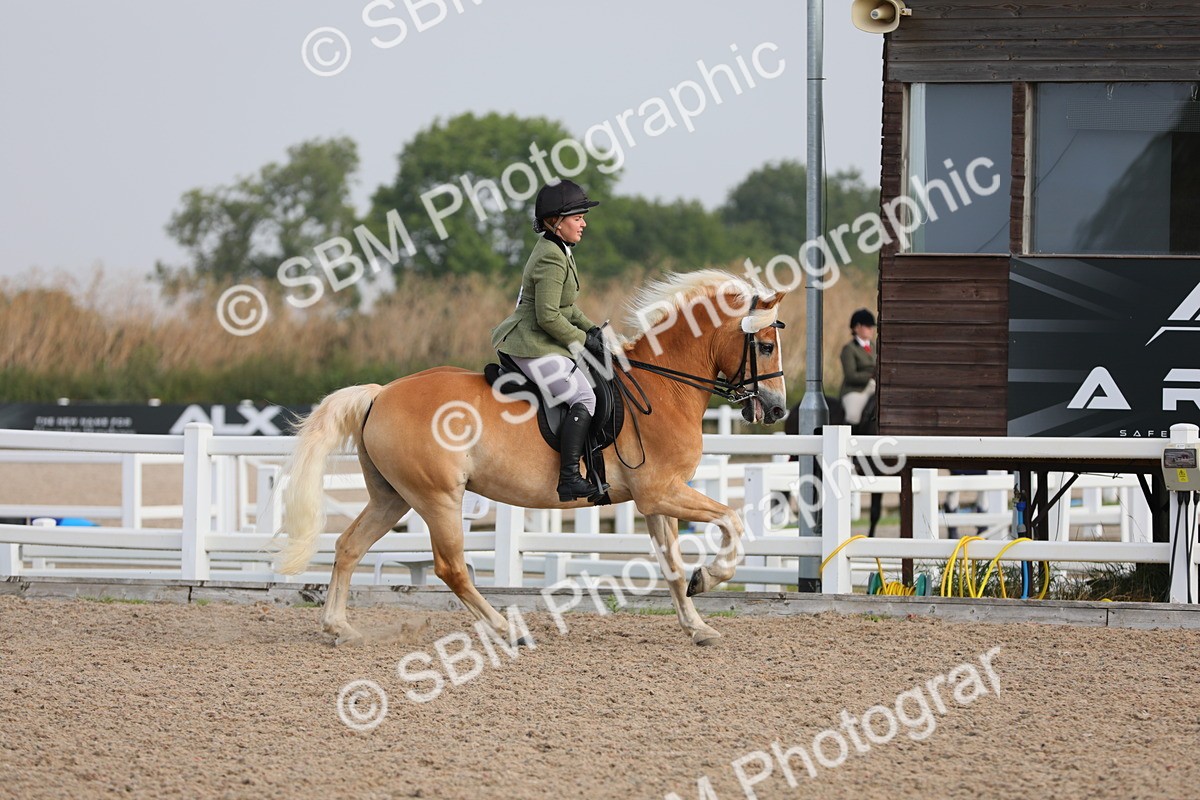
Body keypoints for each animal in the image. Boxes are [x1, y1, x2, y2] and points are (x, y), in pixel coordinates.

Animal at [276, 271, 790, 646]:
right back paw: (508, 630)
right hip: (438, 498)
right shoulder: (662, 492)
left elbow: (674, 569)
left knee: (349, 547)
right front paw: (712, 577)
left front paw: (697, 626)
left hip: (392, 498)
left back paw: (339, 627)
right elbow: (732, 521)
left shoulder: (656, 500)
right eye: (765, 346)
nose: (778, 410)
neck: (664, 386)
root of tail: (381, 393)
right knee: (451, 568)